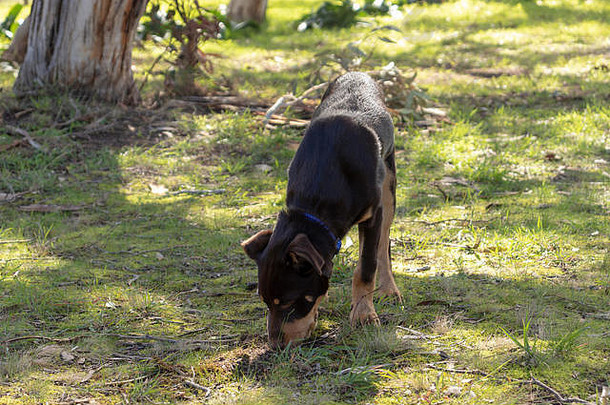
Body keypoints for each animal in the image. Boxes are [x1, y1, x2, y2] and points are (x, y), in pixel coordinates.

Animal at [242, 72, 400, 348]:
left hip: (389, 187)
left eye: (289, 302)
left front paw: (363, 315)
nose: (275, 347)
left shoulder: (373, 215)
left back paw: (388, 288)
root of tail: (358, 73)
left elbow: (366, 267)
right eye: (265, 302)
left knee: (384, 245)